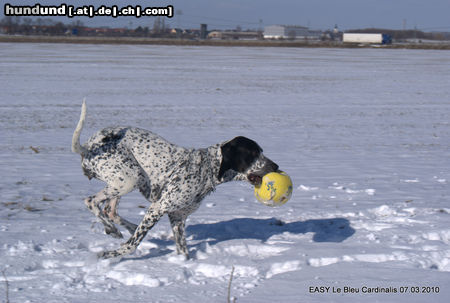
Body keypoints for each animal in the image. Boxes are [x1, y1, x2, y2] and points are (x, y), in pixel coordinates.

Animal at [71, 101, 278, 258]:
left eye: (261, 151)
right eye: (253, 153)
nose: (276, 166)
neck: (206, 168)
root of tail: (89, 146)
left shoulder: (177, 218)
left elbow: (183, 250)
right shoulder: (157, 209)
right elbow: (132, 245)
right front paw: (113, 254)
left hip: (121, 182)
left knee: (110, 210)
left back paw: (122, 227)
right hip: (129, 179)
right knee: (91, 201)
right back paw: (111, 229)